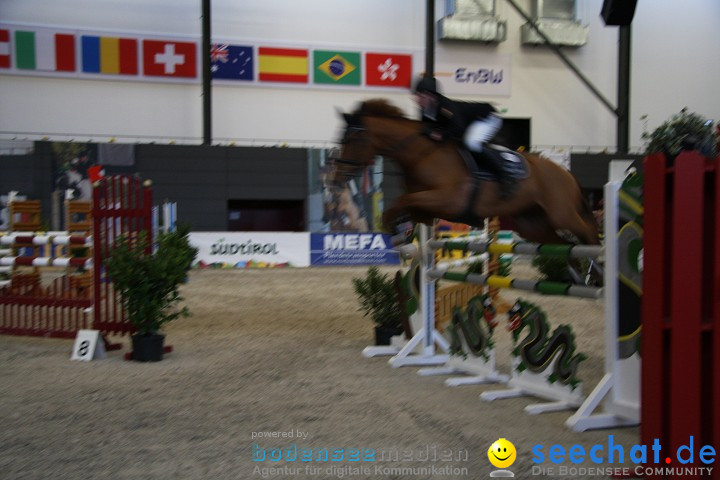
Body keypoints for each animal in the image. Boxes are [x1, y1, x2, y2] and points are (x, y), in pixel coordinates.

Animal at [334, 99, 600, 246]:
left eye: (353, 140)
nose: (337, 178)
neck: (421, 154)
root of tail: (565, 173)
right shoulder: (427, 210)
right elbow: (403, 209)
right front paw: (400, 234)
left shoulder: (446, 199)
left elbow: (400, 203)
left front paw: (396, 232)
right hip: (532, 224)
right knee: (562, 243)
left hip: (561, 214)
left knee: (587, 230)